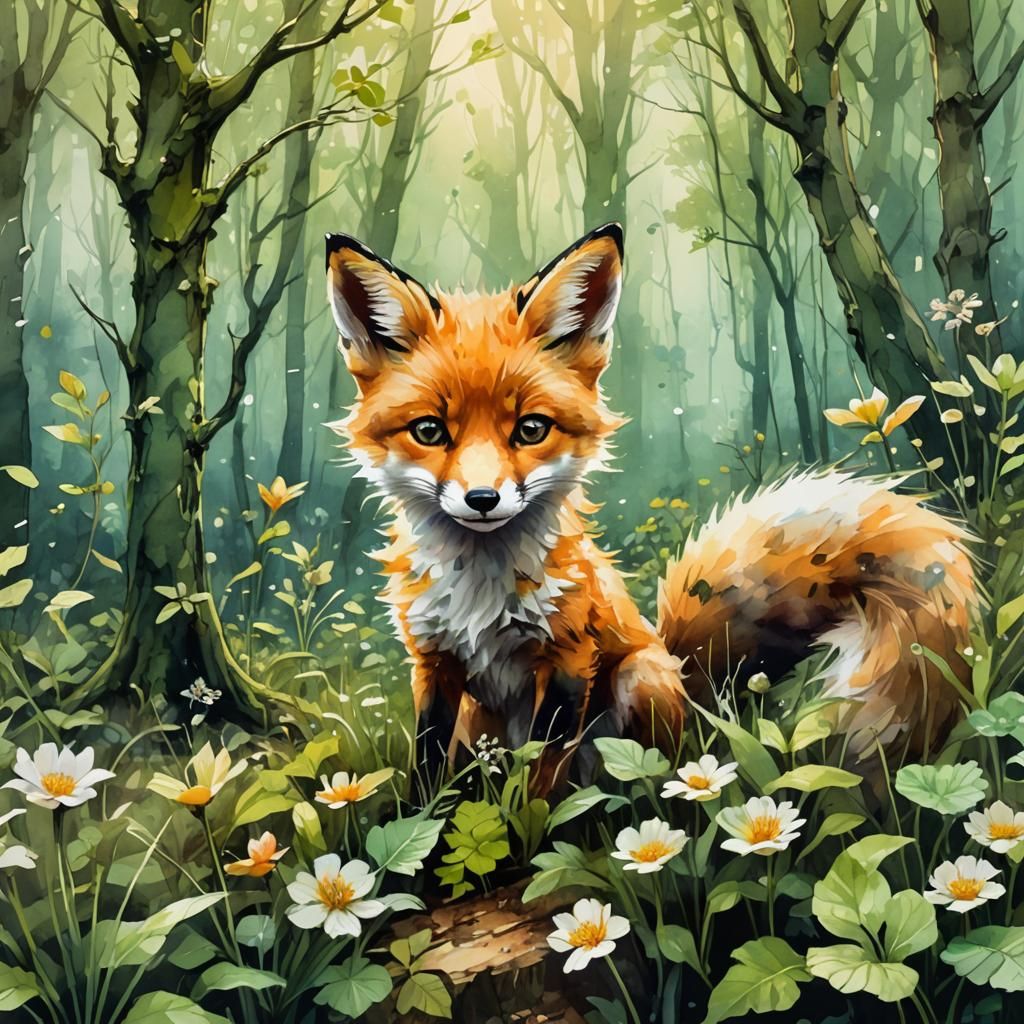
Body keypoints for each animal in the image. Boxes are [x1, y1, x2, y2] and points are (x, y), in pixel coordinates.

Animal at [324, 223, 977, 776]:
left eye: (531, 430)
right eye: (430, 431)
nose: (483, 498)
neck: (481, 598)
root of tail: (687, 677)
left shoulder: (568, 660)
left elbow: (542, 782)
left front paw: (533, 834)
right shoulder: (433, 664)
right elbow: (429, 774)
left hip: (640, 679)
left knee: (637, 779)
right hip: (480, 723)